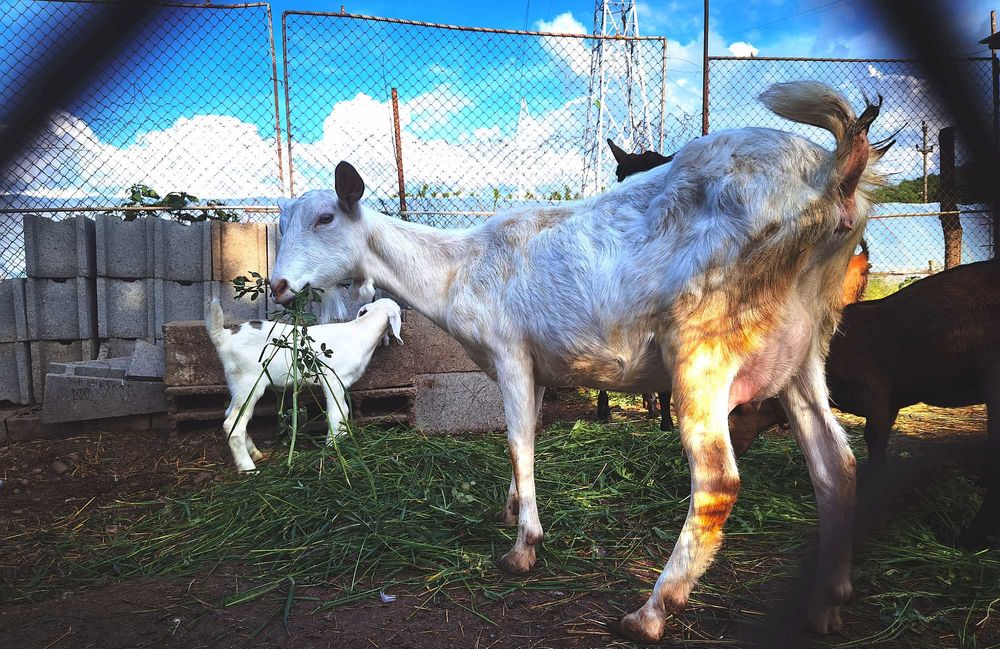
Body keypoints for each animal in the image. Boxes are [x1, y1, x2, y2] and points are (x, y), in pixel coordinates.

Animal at [205, 297, 403, 471]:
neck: (359, 333)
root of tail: (223, 336)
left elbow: (344, 412)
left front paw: (343, 440)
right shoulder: (332, 379)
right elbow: (336, 414)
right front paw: (332, 448)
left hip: (237, 384)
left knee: (231, 415)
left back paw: (255, 453)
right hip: (249, 383)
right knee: (232, 424)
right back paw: (248, 469)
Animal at [270, 81, 885, 642]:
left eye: (325, 218)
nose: (277, 285)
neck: (457, 269)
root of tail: (833, 176)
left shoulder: (510, 353)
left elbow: (517, 441)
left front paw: (523, 548)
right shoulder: (538, 367)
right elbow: (529, 437)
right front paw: (511, 508)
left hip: (703, 343)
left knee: (717, 481)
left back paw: (652, 611)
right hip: (805, 347)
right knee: (836, 464)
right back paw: (827, 601)